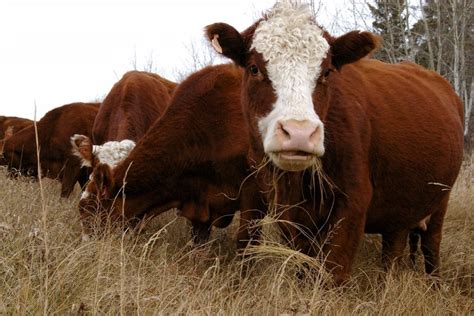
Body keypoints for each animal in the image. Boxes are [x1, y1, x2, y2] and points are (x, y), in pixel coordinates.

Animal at [206, 0, 462, 286]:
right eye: (254, 68)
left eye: (327, 71)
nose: (299, 132)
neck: (296, 182)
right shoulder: (276, 204)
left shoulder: (352, 203)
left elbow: (334, 272)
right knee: (394, 247)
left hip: (440, 201)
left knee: (431, 247)